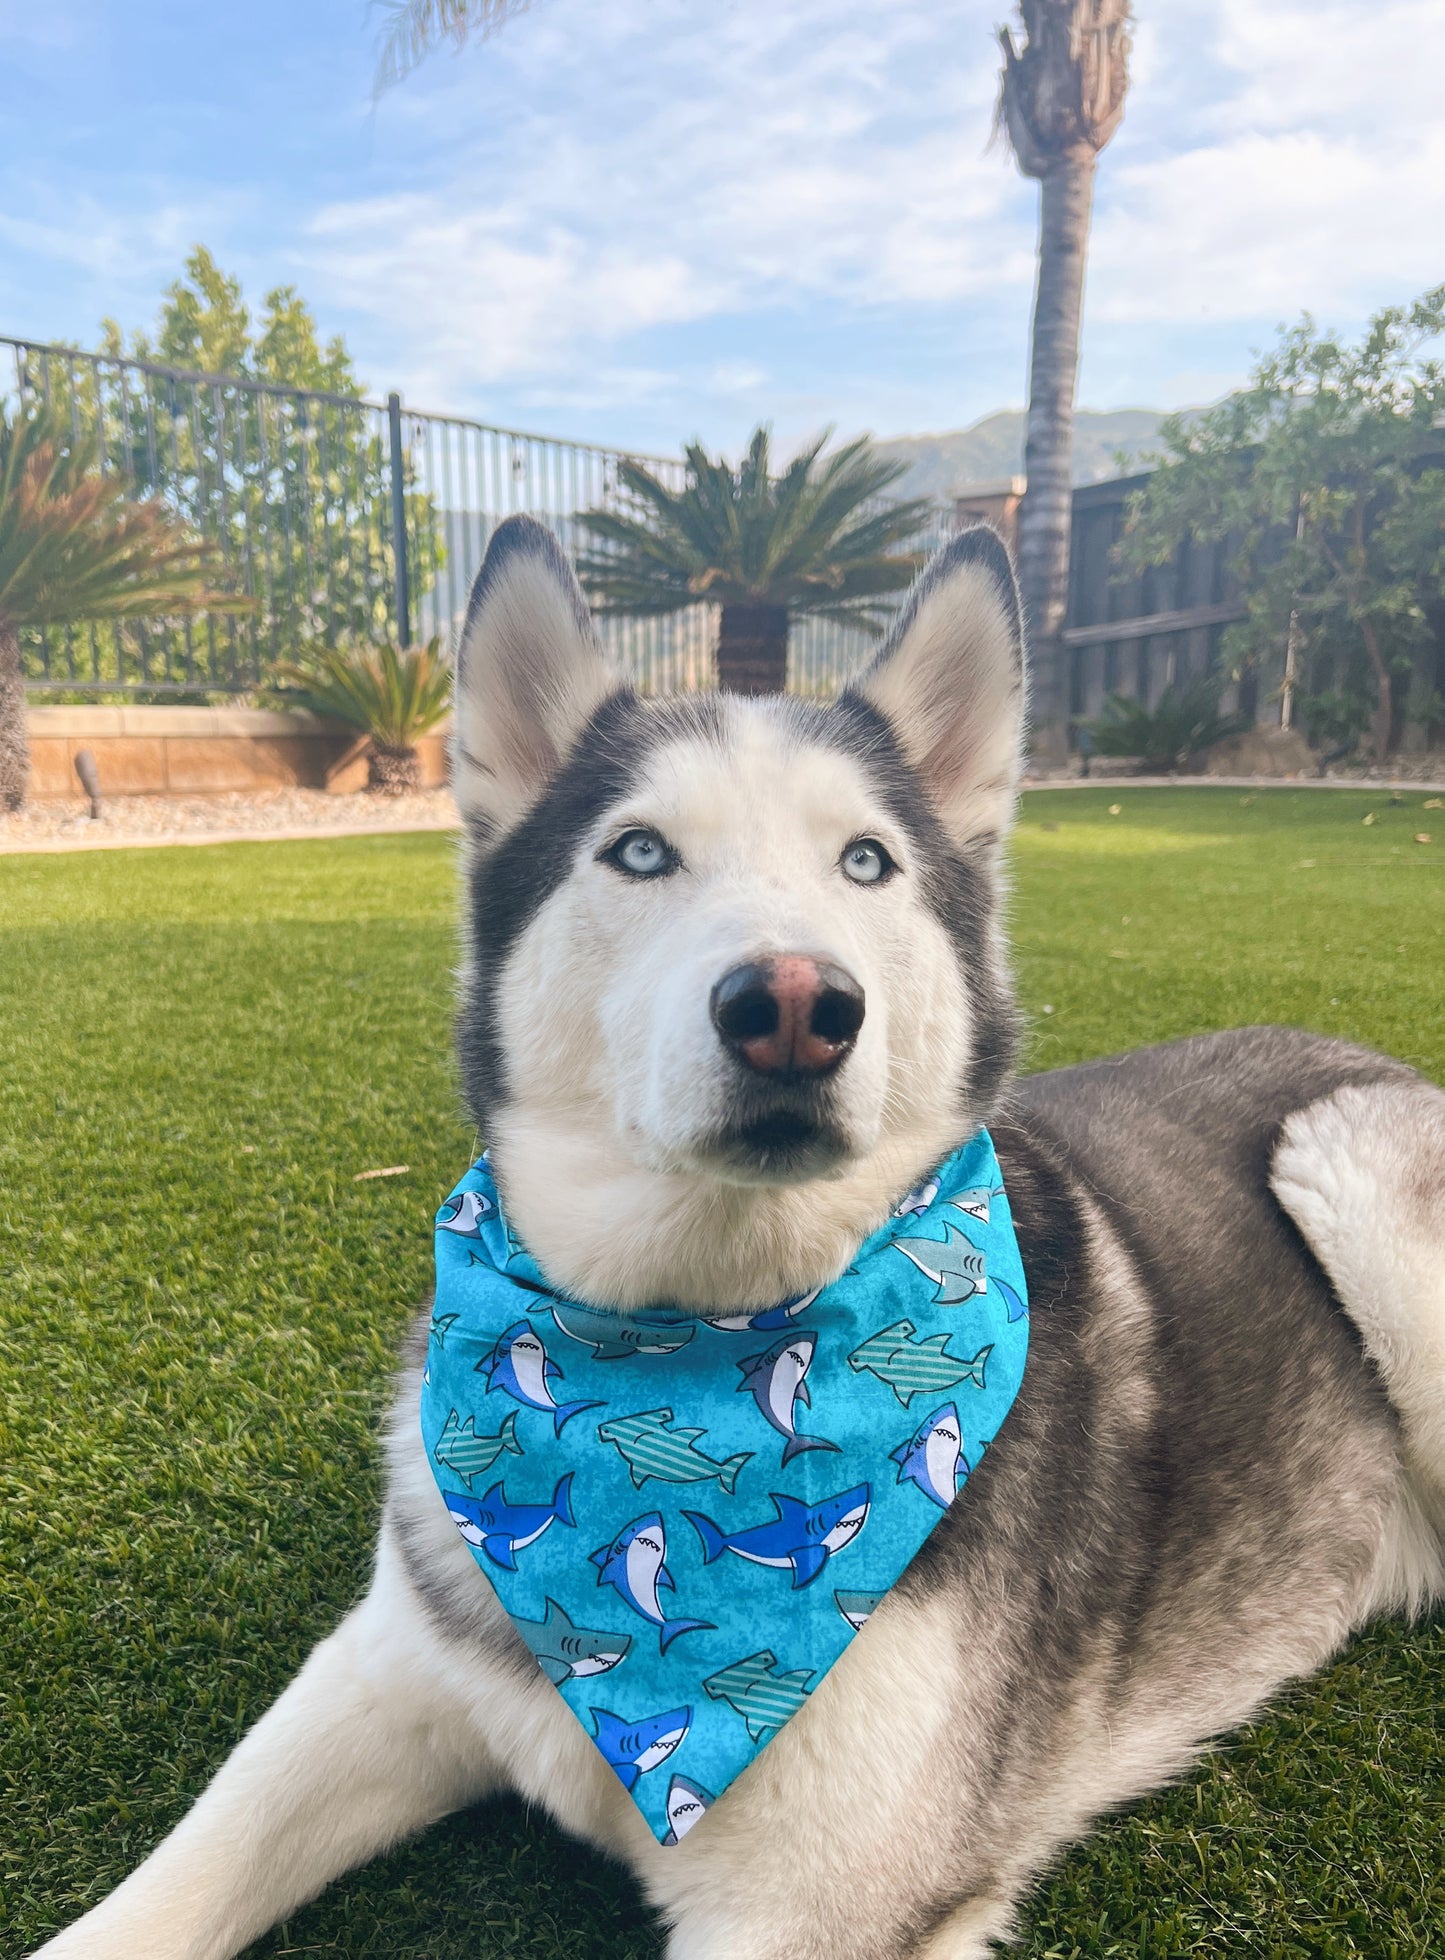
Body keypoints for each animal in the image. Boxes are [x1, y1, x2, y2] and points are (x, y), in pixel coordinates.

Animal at [36, 513, 1443, 1952]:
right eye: (639, 851)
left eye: (866, 860)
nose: (794, 1006)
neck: (694, 1319)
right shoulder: (386, 1674)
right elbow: (167, 1888)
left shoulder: (818, 1906)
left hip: (1335, 1160)